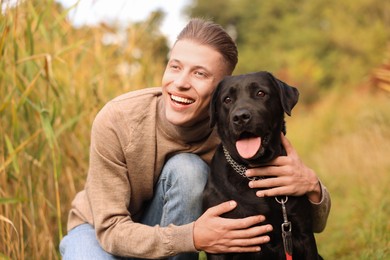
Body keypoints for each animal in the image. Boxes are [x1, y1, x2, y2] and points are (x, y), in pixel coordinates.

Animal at [203, 71, 322, 260]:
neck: (256, 172)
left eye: (261, 93)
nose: (240, 117)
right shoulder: (220, 244)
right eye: (227, 99)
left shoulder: (303, 234)